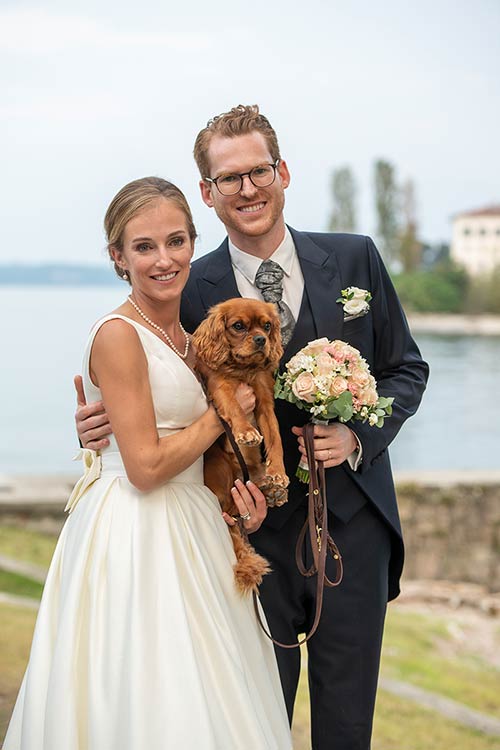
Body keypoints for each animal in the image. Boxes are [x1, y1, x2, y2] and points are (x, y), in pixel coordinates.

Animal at [191, 296, 290, 596]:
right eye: (238, 326)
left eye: (267, 326)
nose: (260, 339)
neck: (243, 369)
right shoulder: (220, 388)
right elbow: (235, 407)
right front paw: (246, 432)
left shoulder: (265, 402)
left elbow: (275, 440)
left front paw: (278, 472)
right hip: (221, 467)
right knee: (230, 508)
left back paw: (272, 490)